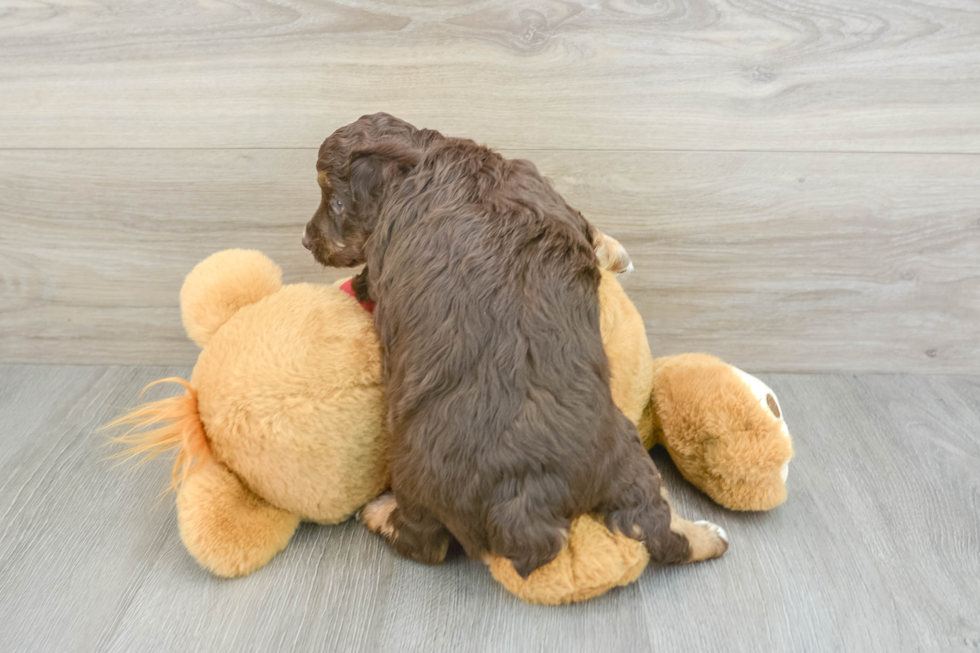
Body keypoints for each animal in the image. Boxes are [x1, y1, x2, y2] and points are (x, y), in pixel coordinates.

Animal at [302, 114, 724, 580]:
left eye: (335, 204)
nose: (305, 239)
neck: (421, 160)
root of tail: (530, 496)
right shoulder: (543, 192)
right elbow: (590, 228)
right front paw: (619, 255)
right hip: (625, 453)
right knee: (656, 522)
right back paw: (709, 537)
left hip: (418, 475)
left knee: (426, 543)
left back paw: (379, 514)